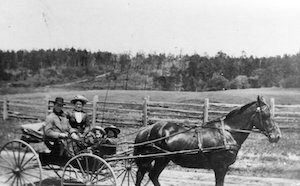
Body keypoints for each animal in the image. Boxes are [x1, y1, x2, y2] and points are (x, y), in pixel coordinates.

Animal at [134, 96, 282, 186]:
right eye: (266, 115)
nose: (277, 136)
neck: (228, 133)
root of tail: (147, 129)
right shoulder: (221, 167)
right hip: (151, 159)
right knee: (141, 175)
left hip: (162, 159)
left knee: (152, 176)